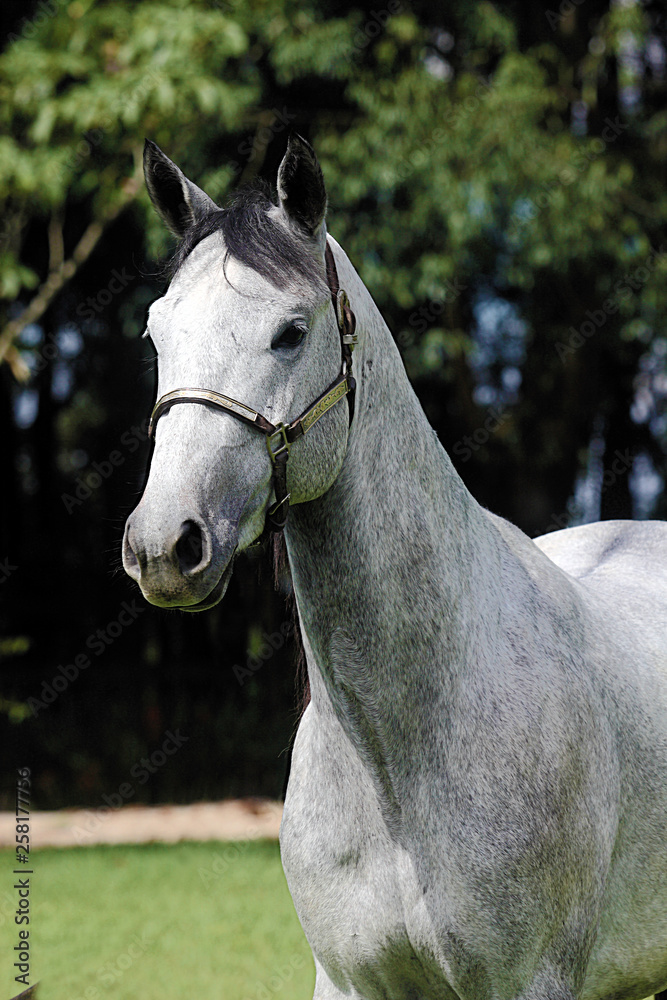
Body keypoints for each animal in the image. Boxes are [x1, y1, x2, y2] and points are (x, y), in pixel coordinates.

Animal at [122, 134, 667, 1000]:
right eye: (154, 333)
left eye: (290, 331)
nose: (163, 546)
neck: (394, 746)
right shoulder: (347, 981)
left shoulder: (532, 981)